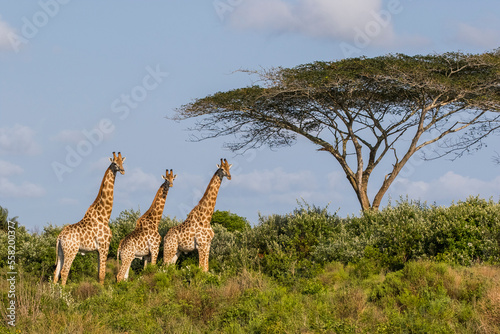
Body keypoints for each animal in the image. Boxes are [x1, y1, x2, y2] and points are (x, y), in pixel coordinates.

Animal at [53, 151, 126, 284]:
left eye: (122, 162)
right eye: (114, 163)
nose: (123, 170)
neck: (104, 216)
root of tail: (59, 237)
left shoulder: (98, 250)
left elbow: (98, 274)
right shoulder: (104, 246)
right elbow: (102, 275)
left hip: (61, 252)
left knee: (56, 274)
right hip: (71, 251)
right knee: (64, 272)